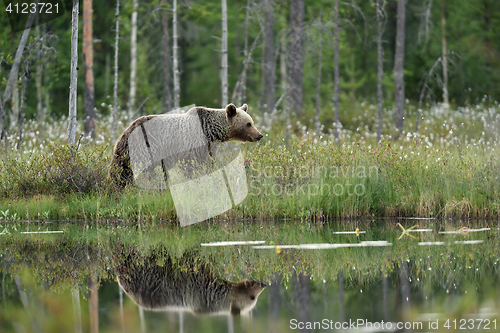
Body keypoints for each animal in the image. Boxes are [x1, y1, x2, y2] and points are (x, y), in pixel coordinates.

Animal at [109, 102, 262, 188]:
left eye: (252, 122)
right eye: (248, 124)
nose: (259, 135)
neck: (210, 132)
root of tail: (125, 131)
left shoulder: (207, 146)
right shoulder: (193, 144)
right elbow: (193, 166)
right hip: (142, 149)